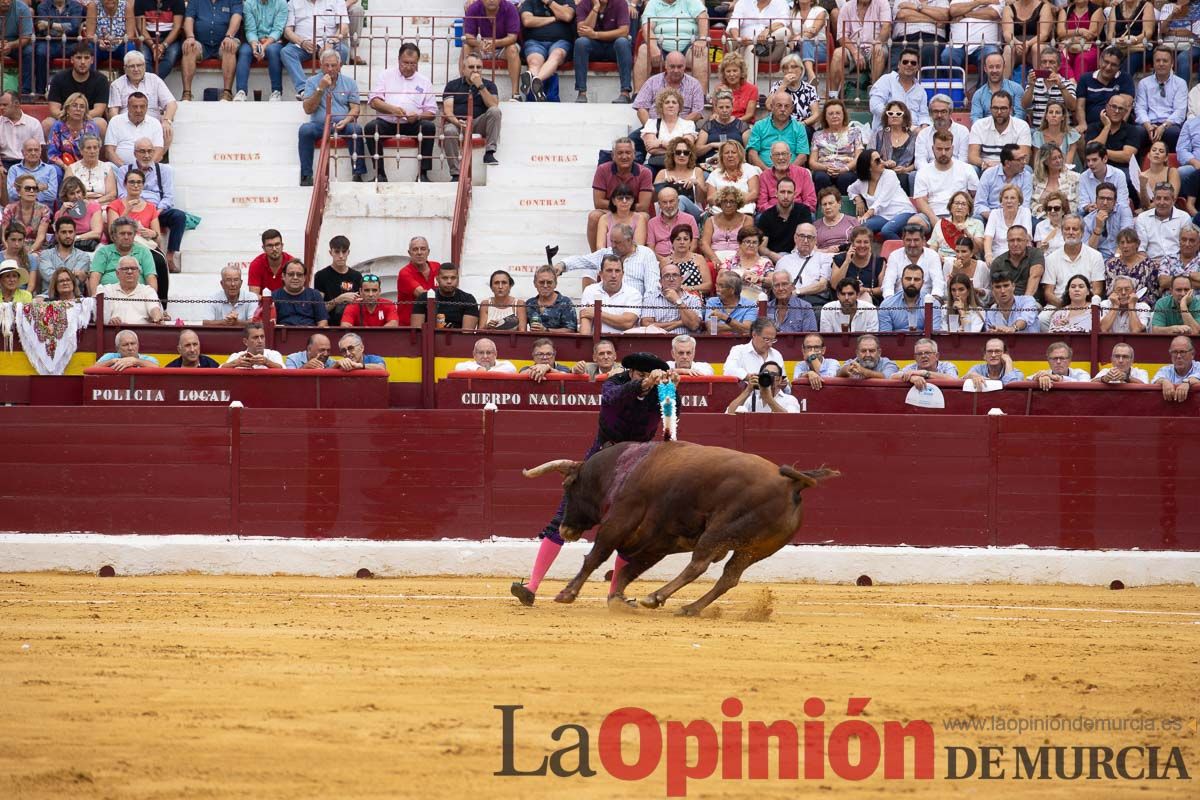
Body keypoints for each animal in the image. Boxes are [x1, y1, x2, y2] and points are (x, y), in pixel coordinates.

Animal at [520, 441, 840, 618]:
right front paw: (617, 599)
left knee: (698, 565)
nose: (565, 528)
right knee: (728, 577)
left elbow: (596, 557)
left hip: (718, 532)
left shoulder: (618, 521)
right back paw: (690, 608)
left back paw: (657, 597)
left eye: (567, 486)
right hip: (755, 549)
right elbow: (628, 569)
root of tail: (791, 484)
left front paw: (568, 593)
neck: (619, 470)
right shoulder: (658, 542)